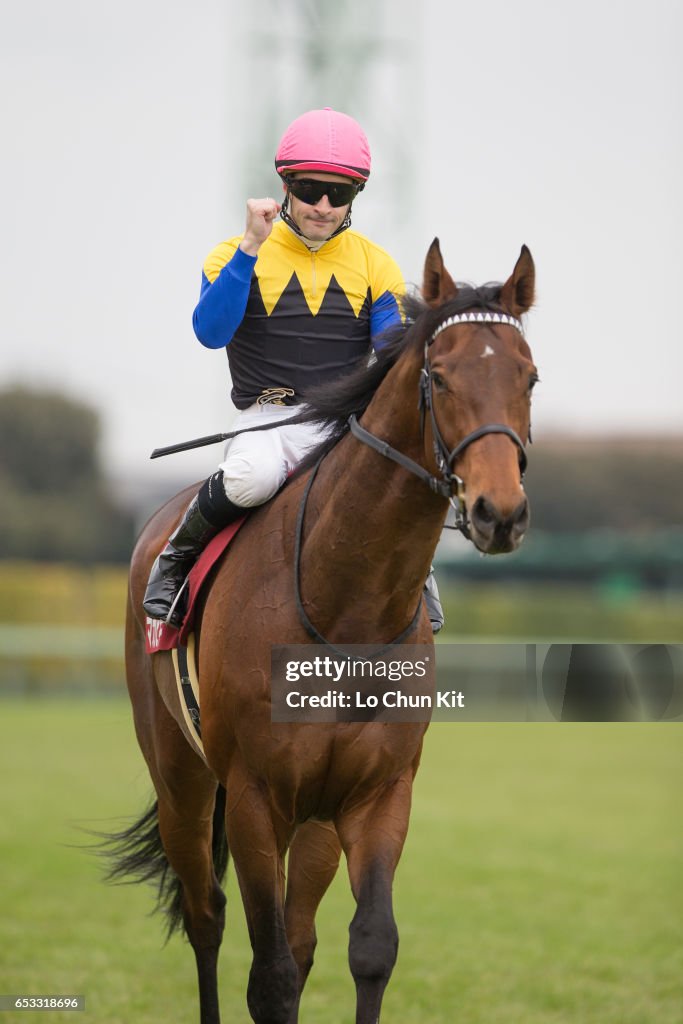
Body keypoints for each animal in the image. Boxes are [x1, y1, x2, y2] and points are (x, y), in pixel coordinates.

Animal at [107, 239, 536, 1024]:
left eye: (529, 376)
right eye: (438, 375)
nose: (499, 512)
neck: (348, 607)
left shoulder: (377, 793)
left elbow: (368, 948)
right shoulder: (252, 797)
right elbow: (269, 975)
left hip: (313, 821)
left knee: (299, 936)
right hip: (182, 778)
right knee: (205, 916)